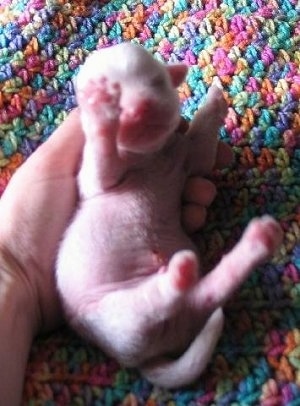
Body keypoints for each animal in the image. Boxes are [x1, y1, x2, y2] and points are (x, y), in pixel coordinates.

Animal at [55, 42, 282, 388]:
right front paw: (100, 110)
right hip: (114, 317)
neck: (150, 156)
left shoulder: (189, 156)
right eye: (115, 93)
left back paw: (256, 243)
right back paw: (179, 275)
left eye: (156, 81)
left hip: (181, 316)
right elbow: (100, 164)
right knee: (154, 303)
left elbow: (202, 146)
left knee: (204, 298)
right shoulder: (92, 180)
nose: (140, 108)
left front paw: (213, 100)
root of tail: (148, 356)